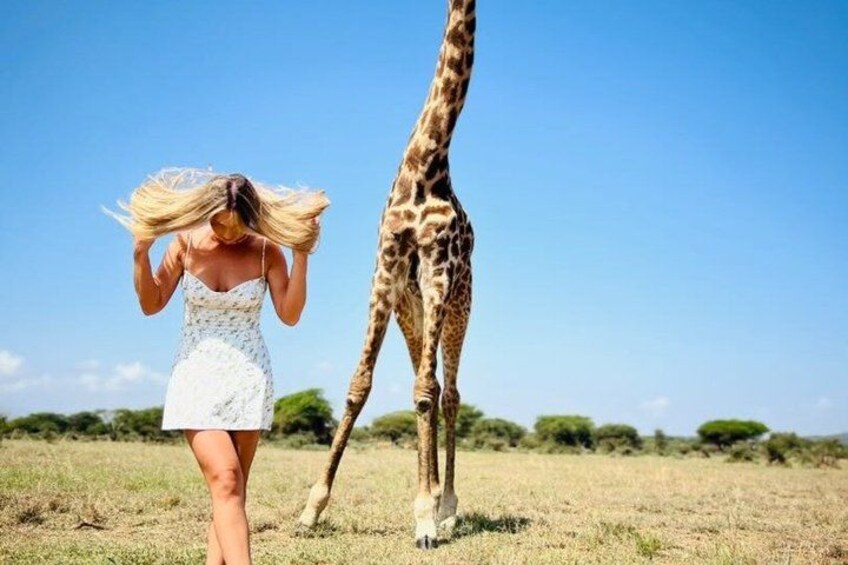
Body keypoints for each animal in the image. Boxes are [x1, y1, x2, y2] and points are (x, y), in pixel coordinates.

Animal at [297, 0, 476, 549]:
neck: (426, 165)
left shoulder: (437, 271)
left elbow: (424, 393)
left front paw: (425, 520)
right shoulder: (386, 270)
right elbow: (359, 384)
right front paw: (311, 510)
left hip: (459, 306)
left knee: (449, 393)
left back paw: (448, 507)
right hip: (409, 313)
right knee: (432, 384)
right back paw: (437, 497)